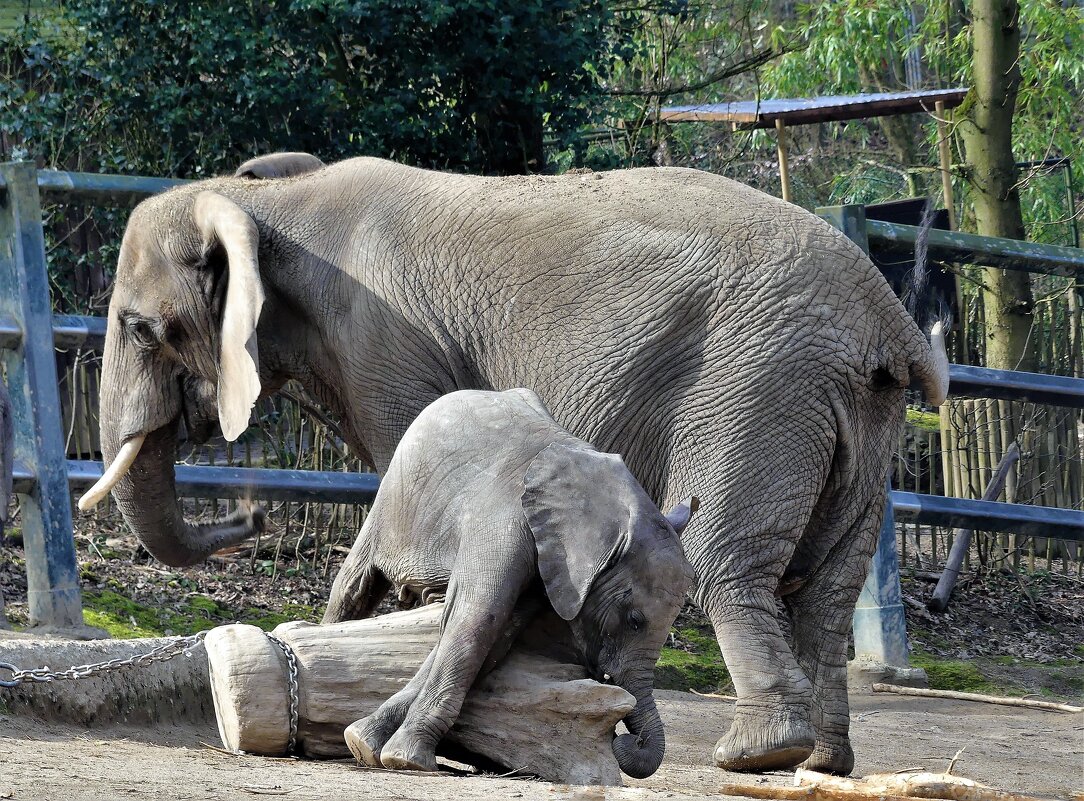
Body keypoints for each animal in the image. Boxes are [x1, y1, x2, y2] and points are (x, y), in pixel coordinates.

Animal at [323, 388, 693, 776]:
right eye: (634, 620)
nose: (627, 741)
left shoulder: (550, 565)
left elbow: (496, 635)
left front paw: (368, 744)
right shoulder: (504, 518)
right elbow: (476, 620)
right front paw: (405, 759)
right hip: (393, 496)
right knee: (353, 587)